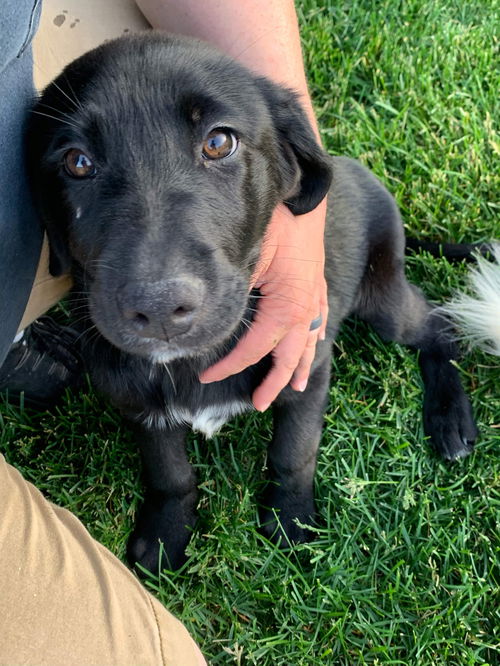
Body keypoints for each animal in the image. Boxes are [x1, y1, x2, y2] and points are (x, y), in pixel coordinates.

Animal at [26, 32, 476, 572]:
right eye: (77, 162)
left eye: (219, 142)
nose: (159, 309)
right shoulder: (141, 401)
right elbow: (169, 473)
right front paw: (166, 533)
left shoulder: (307, 367)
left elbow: (292, 454)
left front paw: (292, 521)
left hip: (383, 299)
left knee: (439, 327)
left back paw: (451, 418)